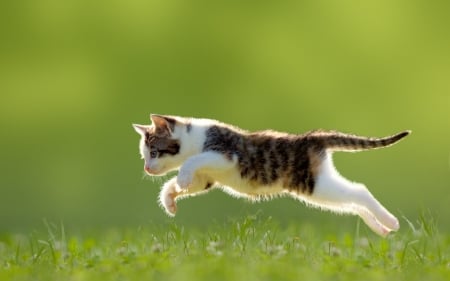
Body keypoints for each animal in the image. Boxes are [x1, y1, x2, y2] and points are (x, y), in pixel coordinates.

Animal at [132, 114, 410, 236]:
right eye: (144, 156)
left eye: (154, 152)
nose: (146, 168)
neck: (194, 138)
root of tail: (311, 138)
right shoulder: (206, 178)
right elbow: (183, 182)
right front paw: (170, 199)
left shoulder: (225, 154)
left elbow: (192, 161)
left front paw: (181, 178)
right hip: (320, 188)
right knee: (352, 203)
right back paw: (381, 228)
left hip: (315, 184)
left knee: (359, 191)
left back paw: (391, 221)